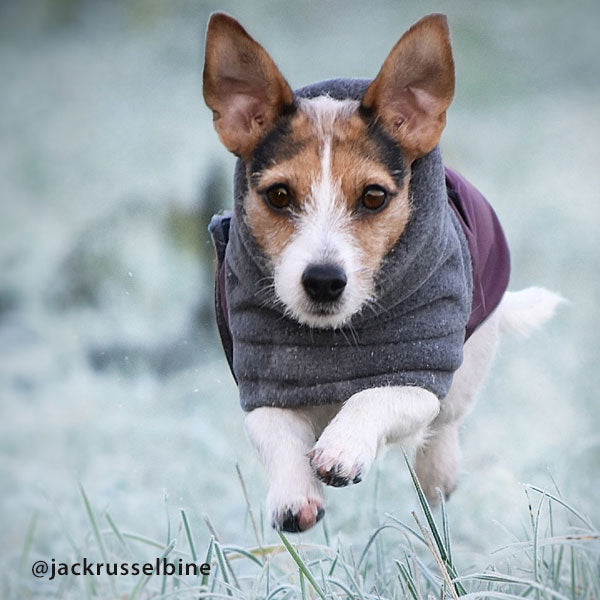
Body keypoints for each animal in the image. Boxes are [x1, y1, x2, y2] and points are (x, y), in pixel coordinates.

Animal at [203, 12, 564, 528]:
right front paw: (294, 494)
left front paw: (342, 447)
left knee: (445, 431)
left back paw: (437, 475)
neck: (333, 338)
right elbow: (274, 429)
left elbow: (373, 395)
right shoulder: (262, 379)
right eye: (278, 195)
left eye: (374, 197)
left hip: (466, 373)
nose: (324, 281)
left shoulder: (421, 372)